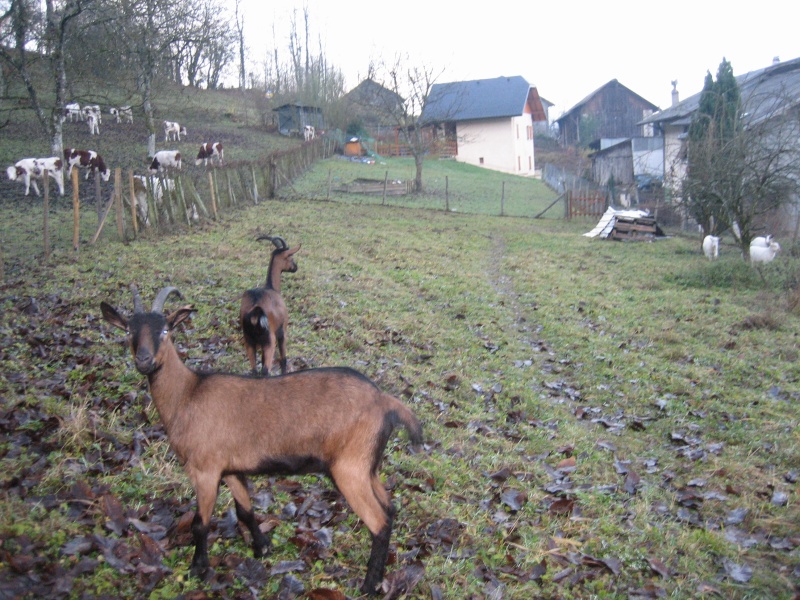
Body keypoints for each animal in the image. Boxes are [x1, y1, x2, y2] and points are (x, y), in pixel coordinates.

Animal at [99, 288, 422, 596]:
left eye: (165, 330)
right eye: (128, 330)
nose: (144, 360)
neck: (188, 394)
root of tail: (384, 401)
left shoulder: (204, 469)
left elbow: (200, 523)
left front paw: (197, 569)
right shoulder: (230, 469)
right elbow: (245, 510)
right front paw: (262, 546)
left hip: (349, 468)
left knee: (378, 522)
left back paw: (369, 586)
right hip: (368, 467)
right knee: (390, 510)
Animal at [241, 236, 300, 372]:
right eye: (290, 257)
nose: (295, 267)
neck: (271, 288)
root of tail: (255, 312)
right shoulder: (282, 331)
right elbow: (283, 359)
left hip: (249, 342)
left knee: (254, 371)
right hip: (269, 342)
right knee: (265, 370)